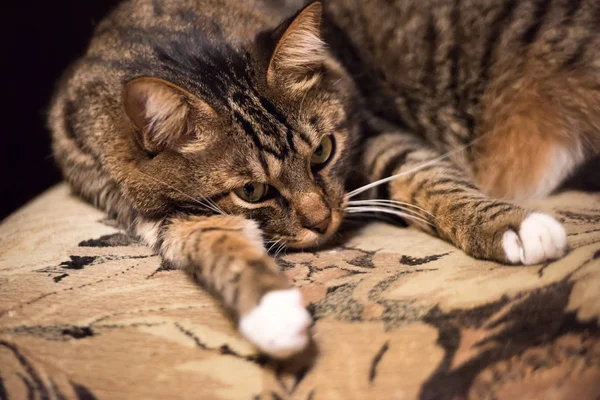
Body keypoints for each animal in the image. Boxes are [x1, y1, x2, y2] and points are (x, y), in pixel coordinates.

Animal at [50, 0, 600, 356]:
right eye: (252, 191)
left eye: (323, 152)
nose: (322, 222)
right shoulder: (166, 216)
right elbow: (218, 244)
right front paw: (272, 310)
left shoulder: (375, 133)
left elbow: (433, 180)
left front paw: (515, 225)